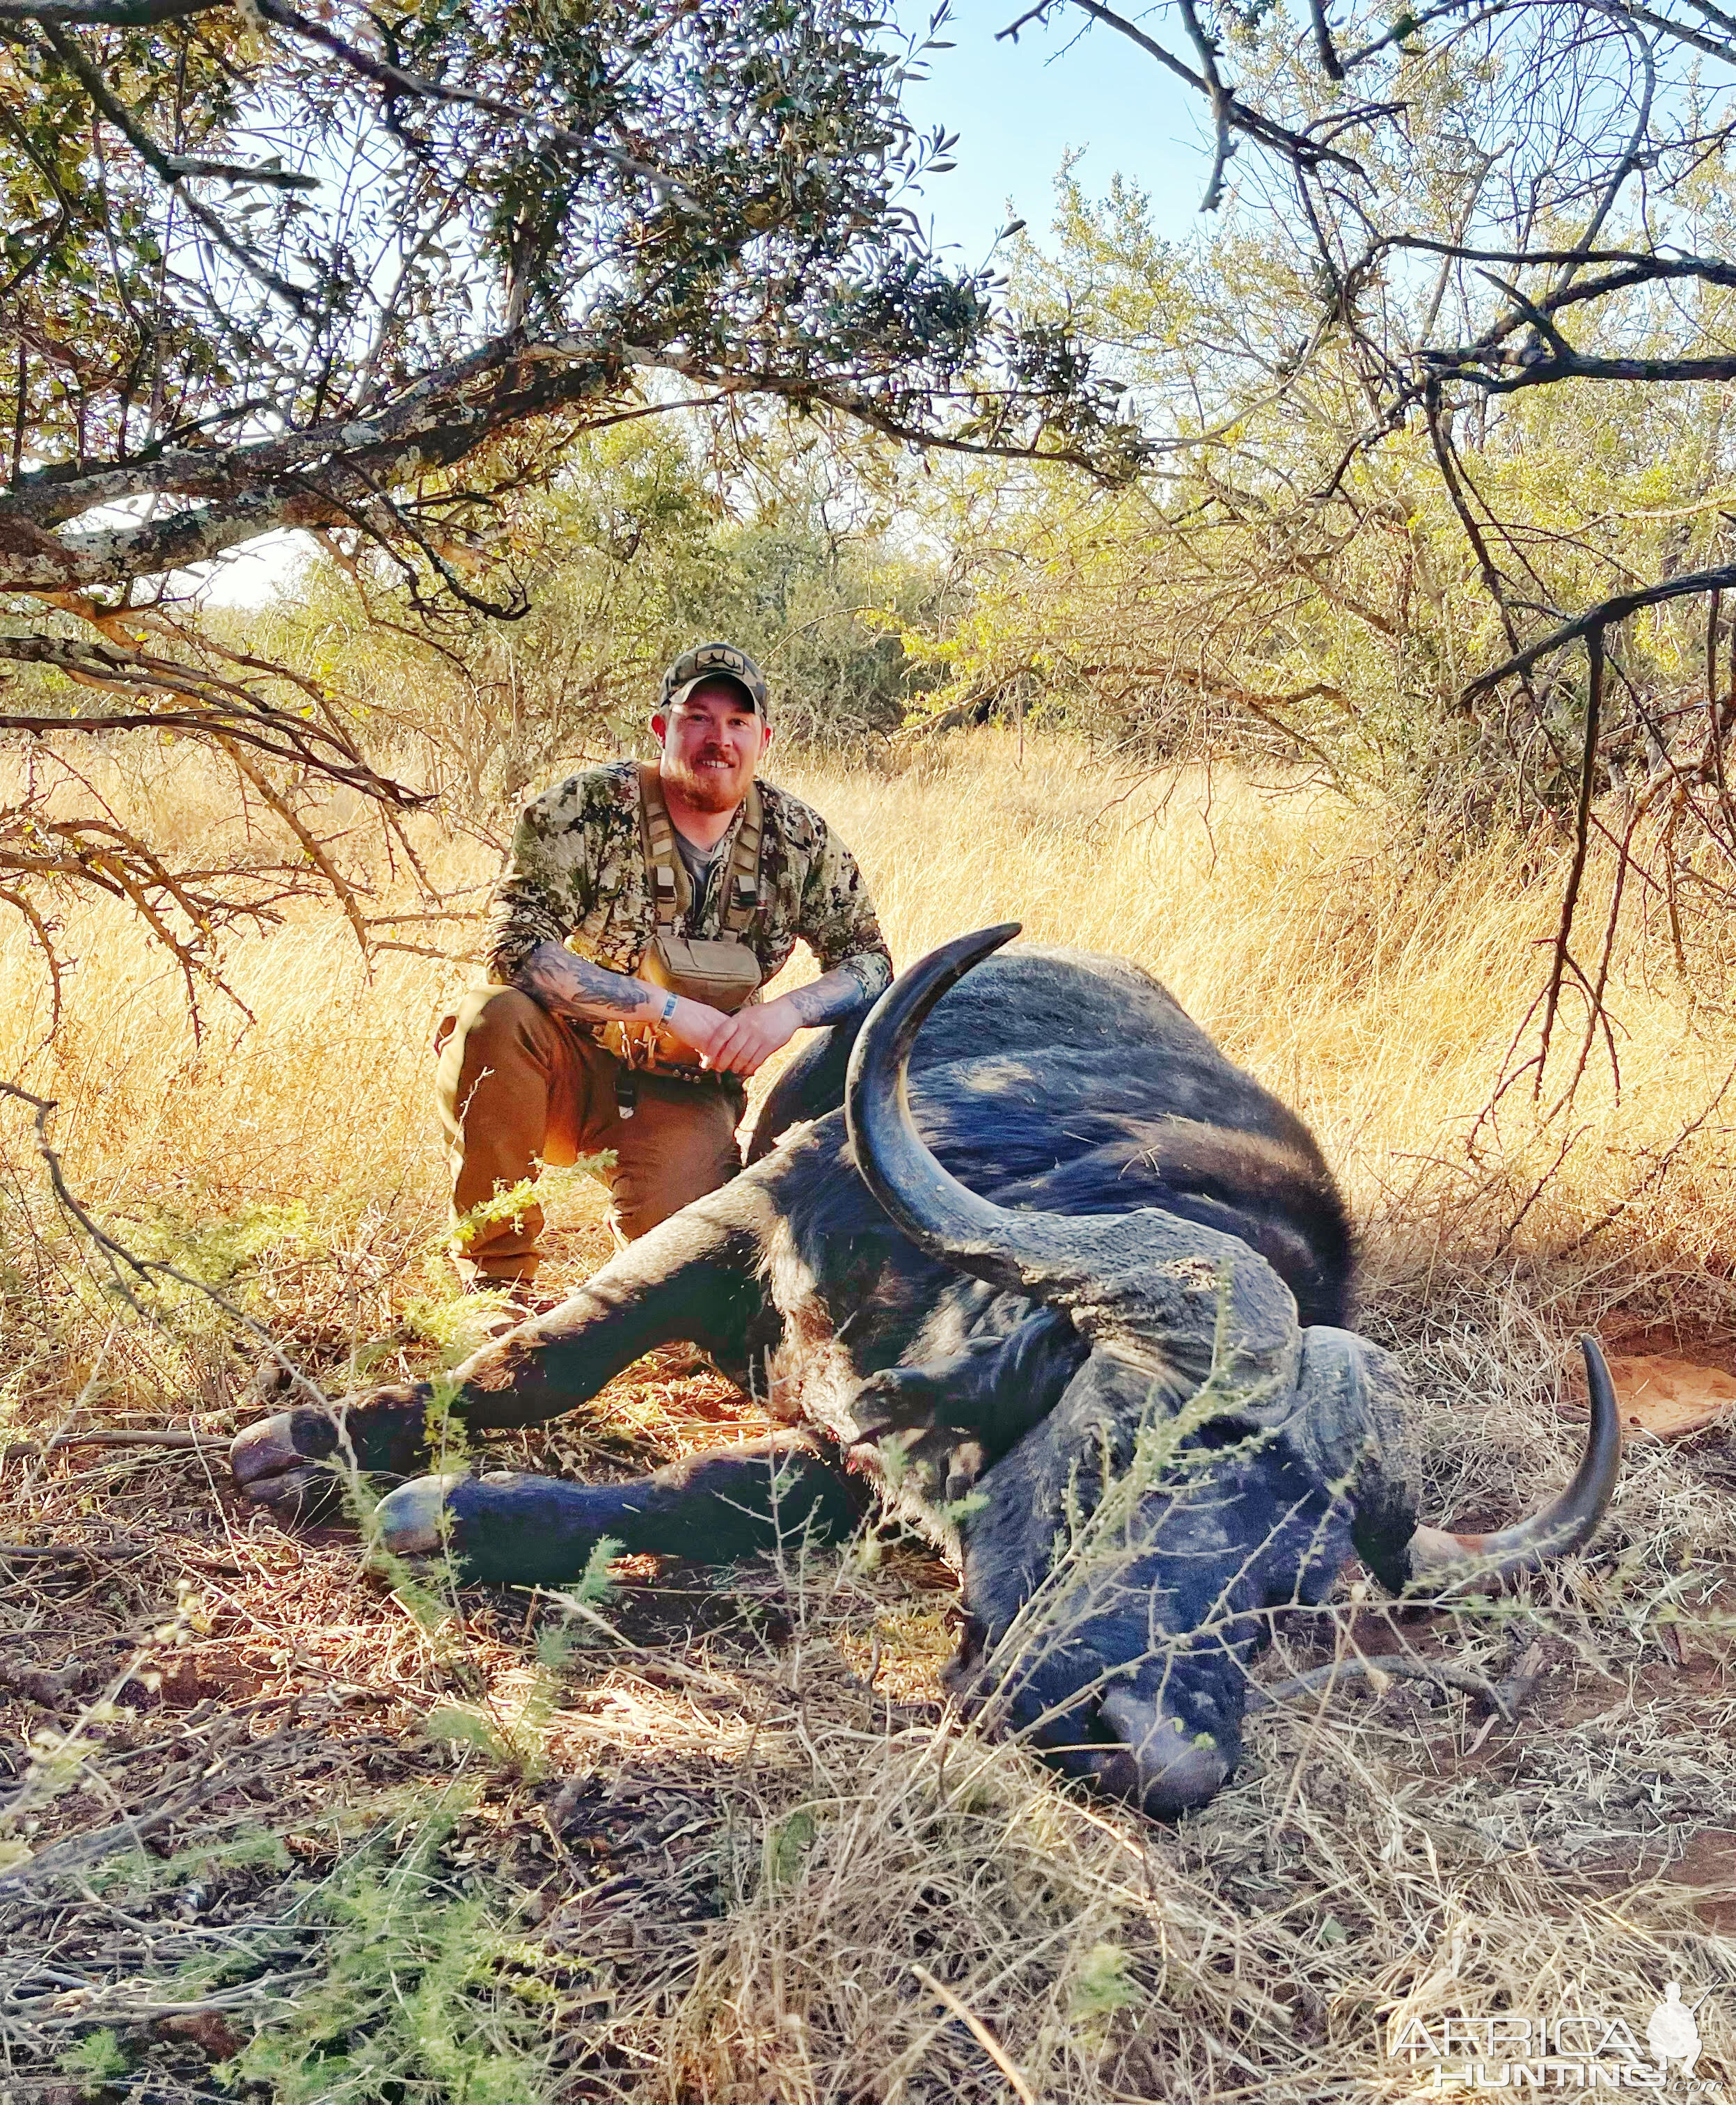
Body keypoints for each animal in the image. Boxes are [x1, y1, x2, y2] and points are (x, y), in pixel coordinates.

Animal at [227, 930, 1616, 1818]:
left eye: (1283, 1597)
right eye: (1131, 1449)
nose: (1157, 1758)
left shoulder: (842, 1462)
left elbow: (703, 1494)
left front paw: (455, 1512)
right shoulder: (744, 1215)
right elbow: (542, 1358)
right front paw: (318, 1440)